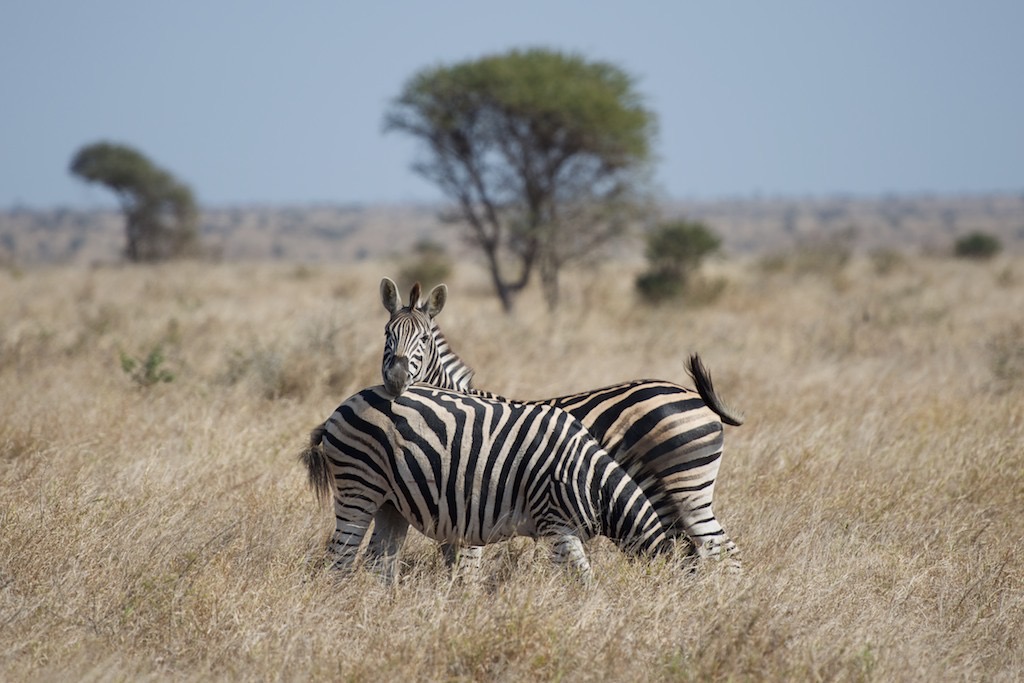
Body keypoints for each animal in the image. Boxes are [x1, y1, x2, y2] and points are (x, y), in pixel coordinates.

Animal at [299, 382, 675, 585]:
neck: (592, 482)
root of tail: (343, 405)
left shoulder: (558, 533)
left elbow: (568, 577)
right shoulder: (557, 524)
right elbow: (583, 580)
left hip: (391, 503)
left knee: (380, 563)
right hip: (359, 485)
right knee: (341, 556)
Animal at [376, 278, 745, 573]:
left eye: (424, 339)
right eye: (387, 334)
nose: (395, 378)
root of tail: (694, 396)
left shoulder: (467, 500)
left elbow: (465, 567)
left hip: (688, 491)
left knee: (724, 551)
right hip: (670, 499)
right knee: (696, 551)